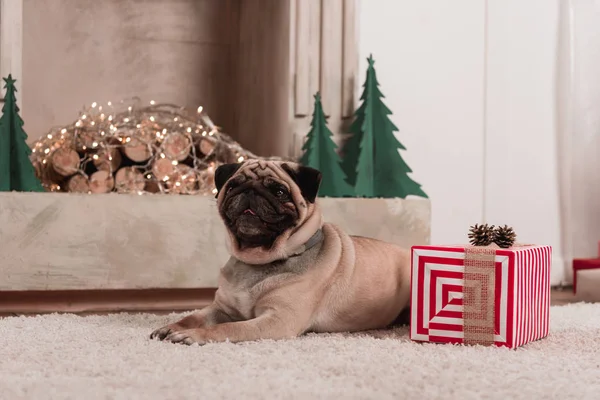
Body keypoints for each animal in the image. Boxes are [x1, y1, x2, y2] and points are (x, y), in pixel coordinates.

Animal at [150, 158, 412, 346]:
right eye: (233, 186)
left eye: (279, 192)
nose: (250, 191)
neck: (258, 260)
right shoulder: (221, 309)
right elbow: (193, 316)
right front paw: (172, 327)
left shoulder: (277, 320)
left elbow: (228, 328)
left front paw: (194, 335)